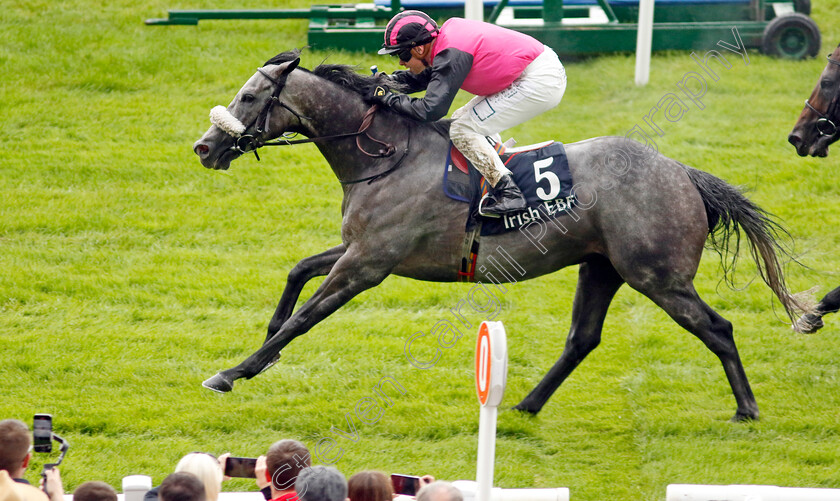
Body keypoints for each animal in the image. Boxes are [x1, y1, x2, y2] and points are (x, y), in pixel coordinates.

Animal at [192, 50, 808, 420]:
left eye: (250, 97)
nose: (203, 147)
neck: (386, 155)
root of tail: (681, 171)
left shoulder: (368, 264)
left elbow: (306, 316)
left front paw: (233, 372)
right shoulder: (358, 249)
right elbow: (297, 273)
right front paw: (265, 347)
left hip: (657, 276)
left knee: (717, 328)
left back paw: (747, 409)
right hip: (602, 267)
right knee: (582, 338)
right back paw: (525, 406)